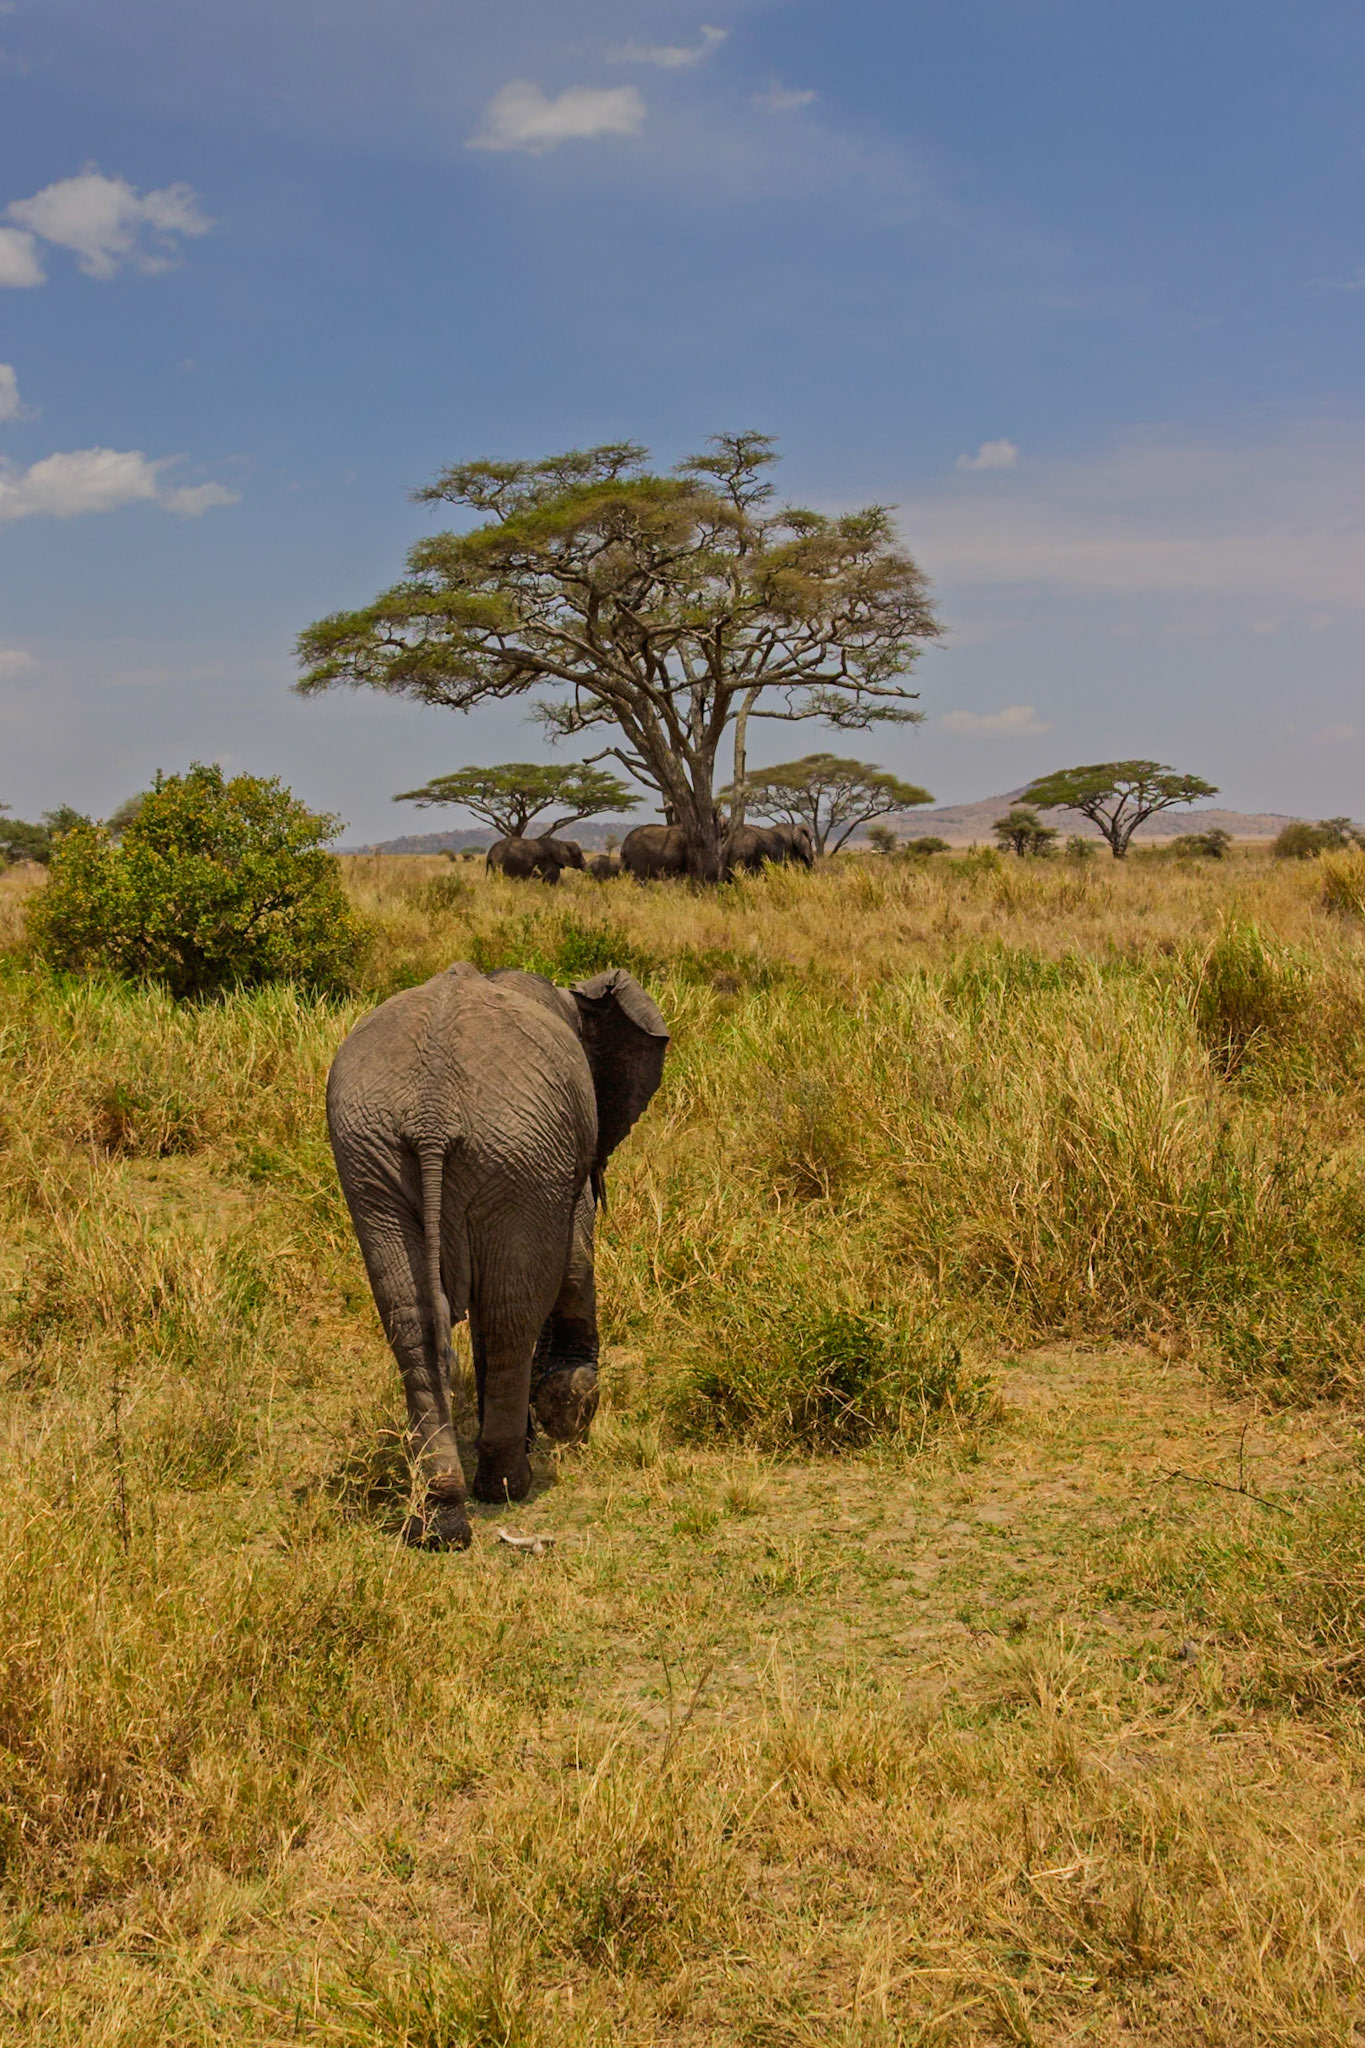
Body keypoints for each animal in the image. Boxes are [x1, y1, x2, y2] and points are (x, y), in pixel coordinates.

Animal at [327, 963, 668, 1550]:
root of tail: (431, 1113)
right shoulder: (558, 1168)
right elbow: (574, 1258)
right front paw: (570, 1410)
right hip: (516, 1155)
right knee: (510, 1317)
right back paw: (507, 1486)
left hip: (373, 1158)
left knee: (414, 1323)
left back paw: (441, 1521)